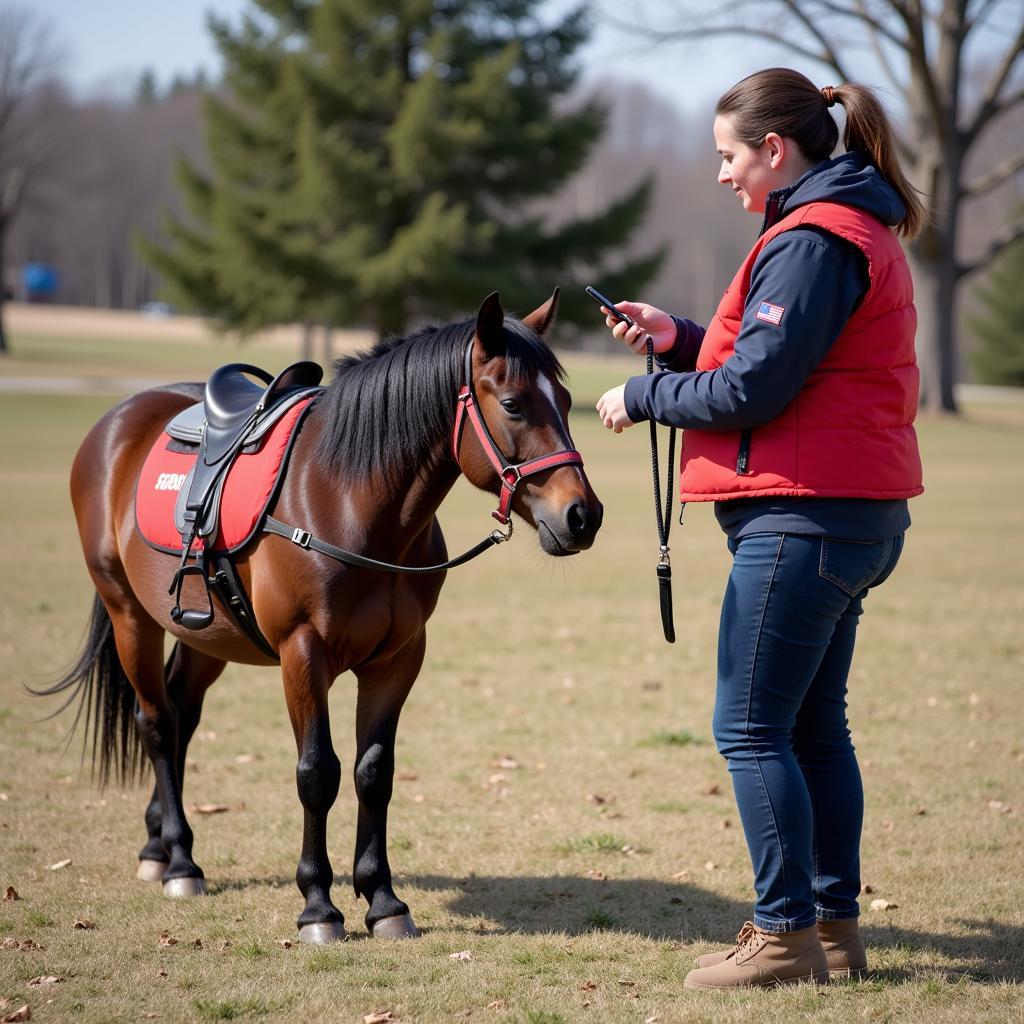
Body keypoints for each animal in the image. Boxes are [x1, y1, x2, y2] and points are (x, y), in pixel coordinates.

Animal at [44, 292, 598, 937]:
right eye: (512, 404)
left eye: (566, 403)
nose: (584, 515)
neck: (350, 501)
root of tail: (119, 419)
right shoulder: (302, 653)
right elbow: (317, 773)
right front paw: (318, 905)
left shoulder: (398, 658)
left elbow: (373, 772)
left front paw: (382, 899)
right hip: (129, 612)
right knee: (157, 722)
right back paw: (181, 860)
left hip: (207, 635)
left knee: (181, 714)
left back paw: (160, 846)